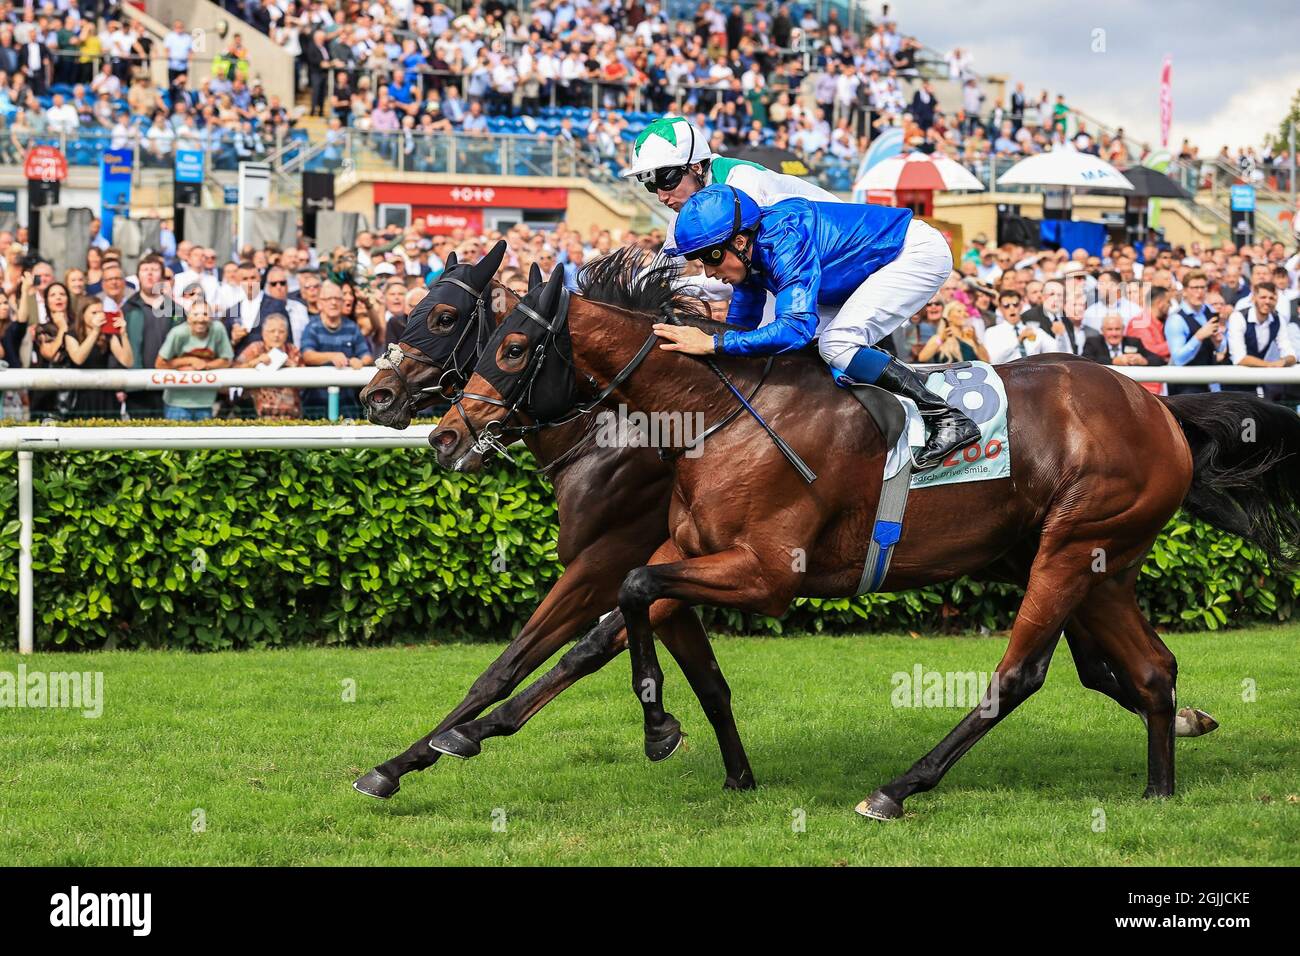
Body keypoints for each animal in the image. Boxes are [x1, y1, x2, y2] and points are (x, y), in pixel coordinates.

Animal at [431, 256, 1294, 822]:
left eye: (510, 348)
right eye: (480, 344)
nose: (444, 436)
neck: (716, 412)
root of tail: (1160, 409)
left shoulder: (767, 573)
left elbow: (630, 595)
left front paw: (654, 730)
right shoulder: (687, 551)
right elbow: (632, 608)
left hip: (1070, 549)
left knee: (1019, 676)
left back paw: (898, 789)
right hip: (1100, 562)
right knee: (1151, 670)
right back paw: (1160, 788)